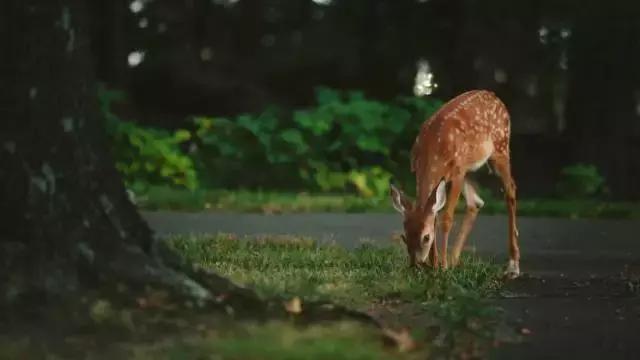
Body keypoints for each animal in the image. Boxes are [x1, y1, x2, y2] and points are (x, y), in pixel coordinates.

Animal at [390, 89, 520, 278]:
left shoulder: (457, 172)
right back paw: (454, 260)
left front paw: (442, 267)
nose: (415, 265)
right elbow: (434, 215)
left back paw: (513, 266)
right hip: (470, 168)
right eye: (404, 236)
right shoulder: (423, 169)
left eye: (426, 237)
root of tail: (494, 96)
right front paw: (435, 264)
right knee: (476, 202)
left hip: (500, 148)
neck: (433, 151)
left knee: (510, 190)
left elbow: (446, 219)